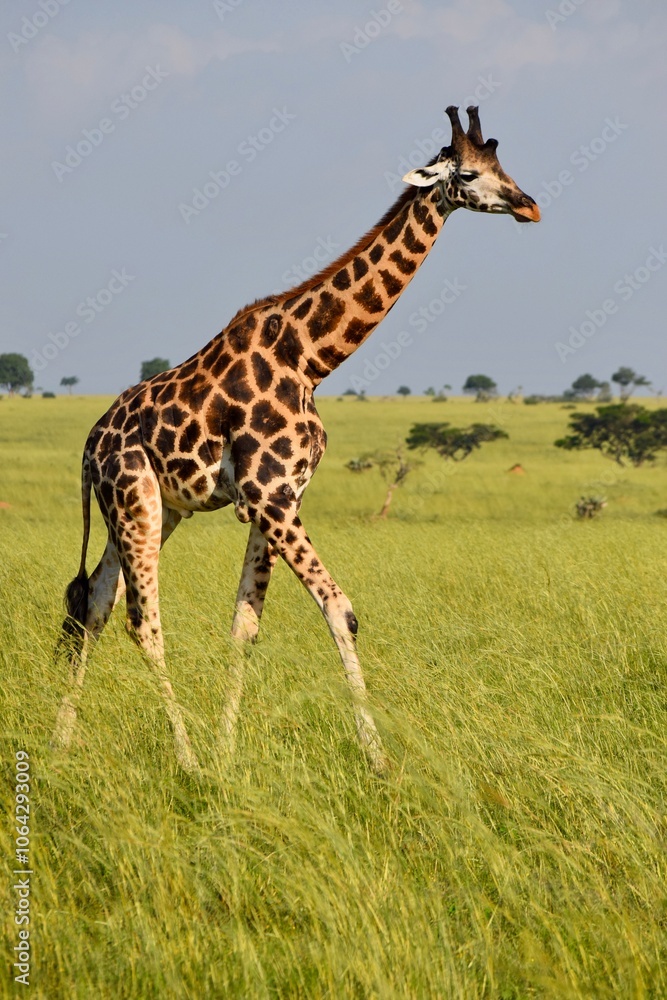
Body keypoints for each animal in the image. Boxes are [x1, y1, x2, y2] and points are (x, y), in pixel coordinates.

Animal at [53, 106, 540, 774]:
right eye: (467, 173)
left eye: (502, 163)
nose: (528, 205)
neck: (311, 357)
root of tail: (88, 448)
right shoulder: (270, 497)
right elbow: (341, 610)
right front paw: (377, 760)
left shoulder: (279, 498)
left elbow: (245, 626)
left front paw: (229, 754)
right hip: (132, 502)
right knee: (141, 624)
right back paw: (184, 760)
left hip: (154, 508)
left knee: (94, 606)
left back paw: (61, 744)